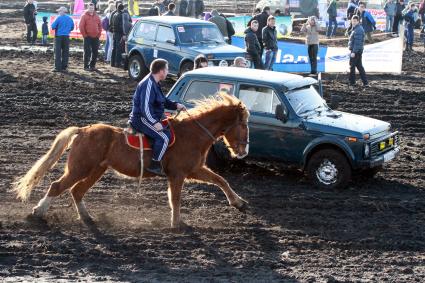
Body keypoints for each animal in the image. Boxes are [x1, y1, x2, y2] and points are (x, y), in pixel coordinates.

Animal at [13, 94, 250, 230]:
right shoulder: (178, 175)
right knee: (57, 186)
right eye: (244, 124)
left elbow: (221, 181)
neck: (193, 133)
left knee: (77, 191)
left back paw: (87, 217)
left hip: (95, 170)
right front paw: (176, 224)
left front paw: (239, 203)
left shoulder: (195, 170)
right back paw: (38, 212)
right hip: (79, 168)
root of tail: (83, 130)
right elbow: (176, 199)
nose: (244, 151)